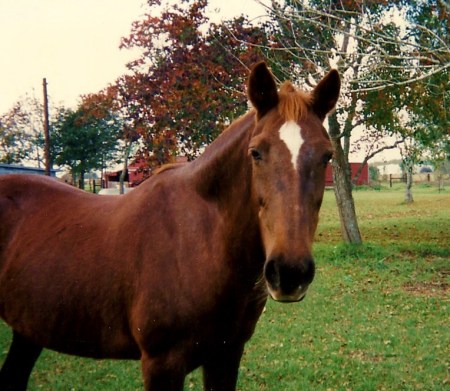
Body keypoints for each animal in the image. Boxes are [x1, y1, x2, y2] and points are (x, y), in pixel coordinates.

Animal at [0, 62, 338, 390]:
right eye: (256, 152)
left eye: (327, 156)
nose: (290, 272)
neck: (199, 241)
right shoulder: (161, 365)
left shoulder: (226, 356)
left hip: (29, 329)